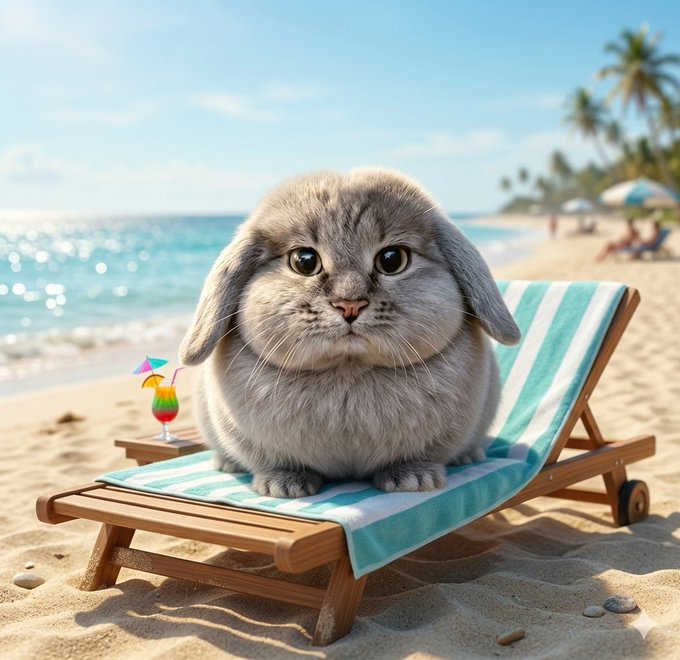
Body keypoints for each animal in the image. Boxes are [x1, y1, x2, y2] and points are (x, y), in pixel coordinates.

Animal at [180, 168, 520, 498]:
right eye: (304, 262)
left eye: (392, 260)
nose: (350, 305)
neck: (348, 368)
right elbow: (275, 463)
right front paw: (284, 487)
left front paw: (413, 480)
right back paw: (228, 464)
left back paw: (468, 456)